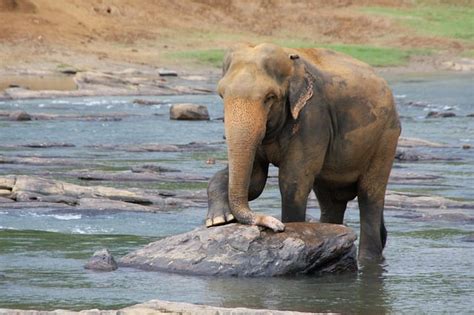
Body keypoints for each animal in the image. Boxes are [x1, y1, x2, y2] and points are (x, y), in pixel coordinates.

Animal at [206, 43, 400, 262]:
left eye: (270, 97)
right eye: (222, 95)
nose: (275, 225)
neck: (290, 61)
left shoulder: (313, 117)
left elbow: (293, 181)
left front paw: (289, 228)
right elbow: (256, 180)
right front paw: (218, 220)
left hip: (386, 139)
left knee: (370, 196)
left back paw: (367, 260)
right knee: (331, 200)